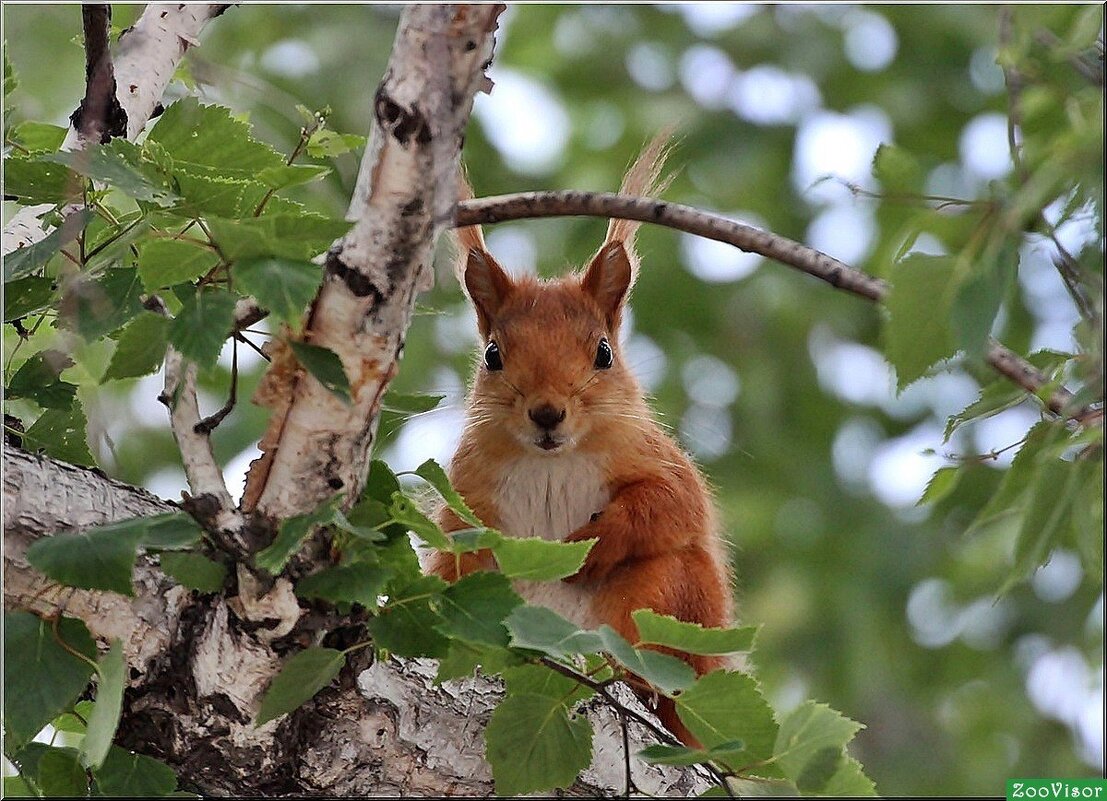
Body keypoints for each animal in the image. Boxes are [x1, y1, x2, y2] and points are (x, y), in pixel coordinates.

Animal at [427, 137, 739, 743]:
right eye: (492, 354)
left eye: (603, 352)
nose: (547, 414)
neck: (553, 462)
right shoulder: (469, 490)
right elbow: (456, 549)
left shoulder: (656, 459)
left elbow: (672, 506)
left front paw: (592, 542)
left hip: (667, 595)